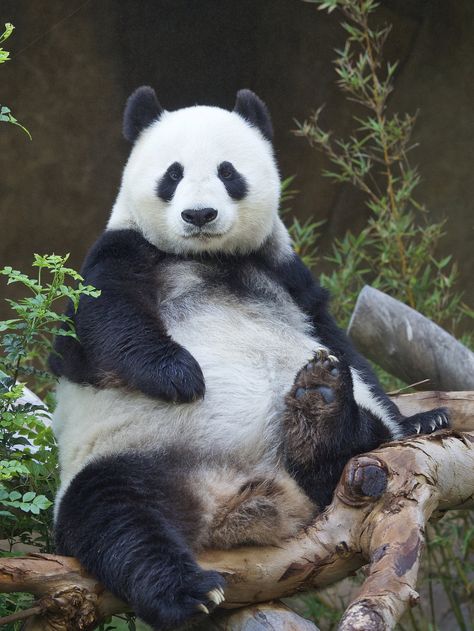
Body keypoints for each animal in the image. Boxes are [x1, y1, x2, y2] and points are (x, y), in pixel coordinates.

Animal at [50, 87, 450, 631]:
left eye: (227, 172)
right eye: (172, 174)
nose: (199, 215)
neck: (210, 258)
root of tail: (235, 501)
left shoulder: (285, 271)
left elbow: (342, 346)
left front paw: (419, 419)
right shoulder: (122, 249)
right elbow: (99, 319)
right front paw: (179, 374)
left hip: (339, 469)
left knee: (356, 447)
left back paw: (320, 412)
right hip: (128, 456)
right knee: (113, 517)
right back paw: (187, 592)